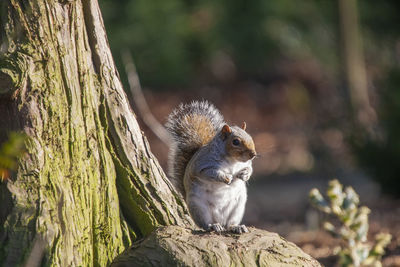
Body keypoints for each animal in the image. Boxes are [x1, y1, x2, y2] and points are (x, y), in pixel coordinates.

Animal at [165, 101, 256, 234]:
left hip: (237, 207)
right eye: (235, 142)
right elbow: (208, 173)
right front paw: (226, 177)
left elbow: (250, 169)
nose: (253, 154)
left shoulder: (246, 164)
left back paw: (236, 227)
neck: (232, 161)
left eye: (250, 137)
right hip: (199, 208)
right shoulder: (201, 165)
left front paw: (244, 175)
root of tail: (220, 220)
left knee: (230, 224)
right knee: (205, 224)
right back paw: (213, 226)